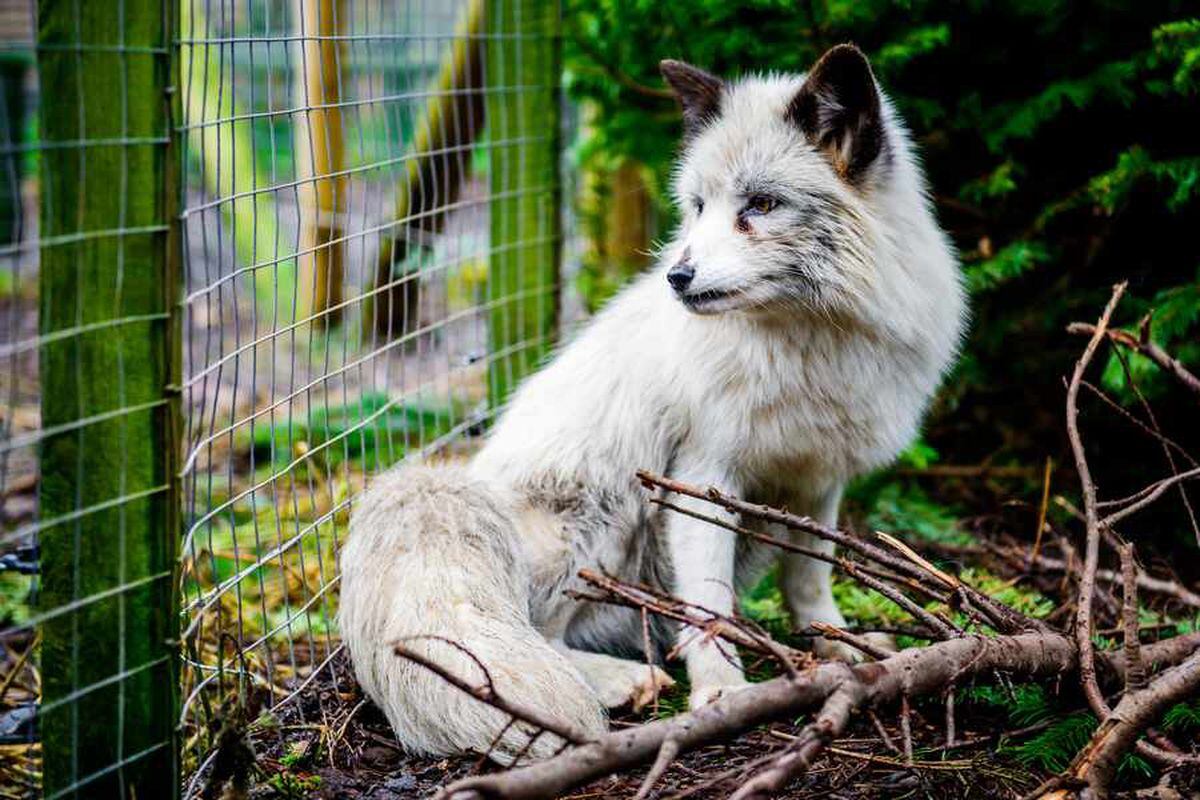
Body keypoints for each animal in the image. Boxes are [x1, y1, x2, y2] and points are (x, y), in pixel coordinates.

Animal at [340, 43, 964, 762]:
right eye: (697, 206)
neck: (806, 344)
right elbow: (709, 605)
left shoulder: (819, 479)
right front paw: (722, 691)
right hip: (607, 504)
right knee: (541, 634)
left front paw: (836, 643)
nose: (678, 277)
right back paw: (618, 680)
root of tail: (460, 484)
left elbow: (810, 577)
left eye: (761, 203)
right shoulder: (702, 477)